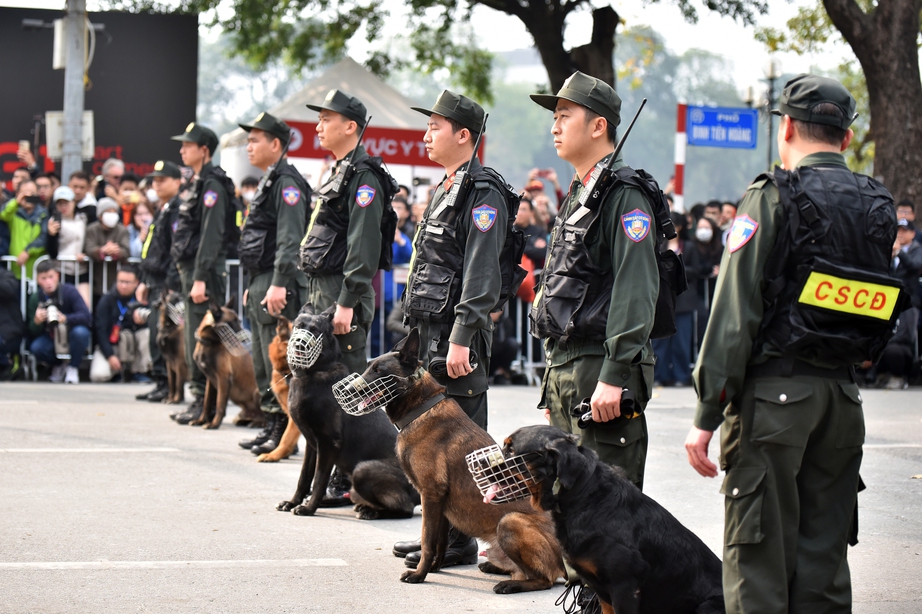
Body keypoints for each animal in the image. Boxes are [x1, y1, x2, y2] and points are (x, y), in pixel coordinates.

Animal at [190, 300, 262, 430]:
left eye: (239, 321)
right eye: (233, 321)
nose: (246, 340)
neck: (208, 343)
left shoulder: (223, 378)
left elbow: (220, 403)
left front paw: (214, 423)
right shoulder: (210, 380)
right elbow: (207, 403)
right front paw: (201, 420)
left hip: (257, 392)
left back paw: (258, 423)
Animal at [274, 308, 416, 520]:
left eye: (315, 330)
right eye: (298, 326)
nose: (299, 344)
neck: (314, 372)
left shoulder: (328, 443)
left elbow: (319, 480)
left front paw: (309, 508)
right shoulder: (312, 445)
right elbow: (304, 477)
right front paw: (293, 502)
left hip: (362, 470)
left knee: (405, 508)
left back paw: (371, 511)